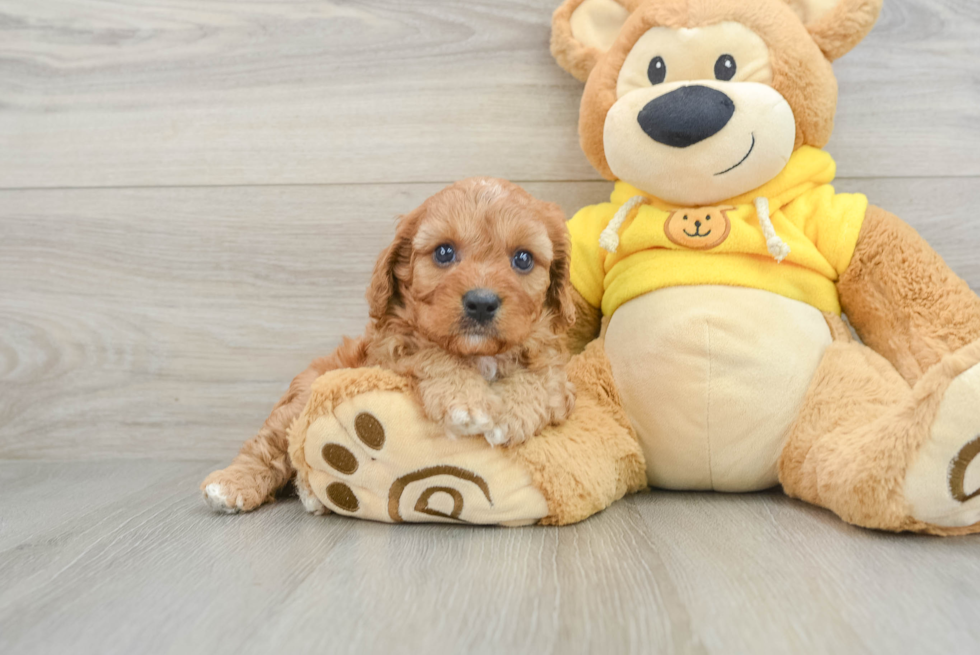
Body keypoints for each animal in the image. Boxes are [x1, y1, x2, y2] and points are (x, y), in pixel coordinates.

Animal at [203, 178, 580, 512]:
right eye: (444, 252)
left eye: (523, 259)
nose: (482, 303)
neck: (478, 354)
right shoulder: (389, 349)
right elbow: (431, 351)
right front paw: (466, 402)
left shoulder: (556, 371)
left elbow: (545, 379)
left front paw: (511, 415)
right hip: (301, 397)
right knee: (270, 445)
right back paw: (232, 485)